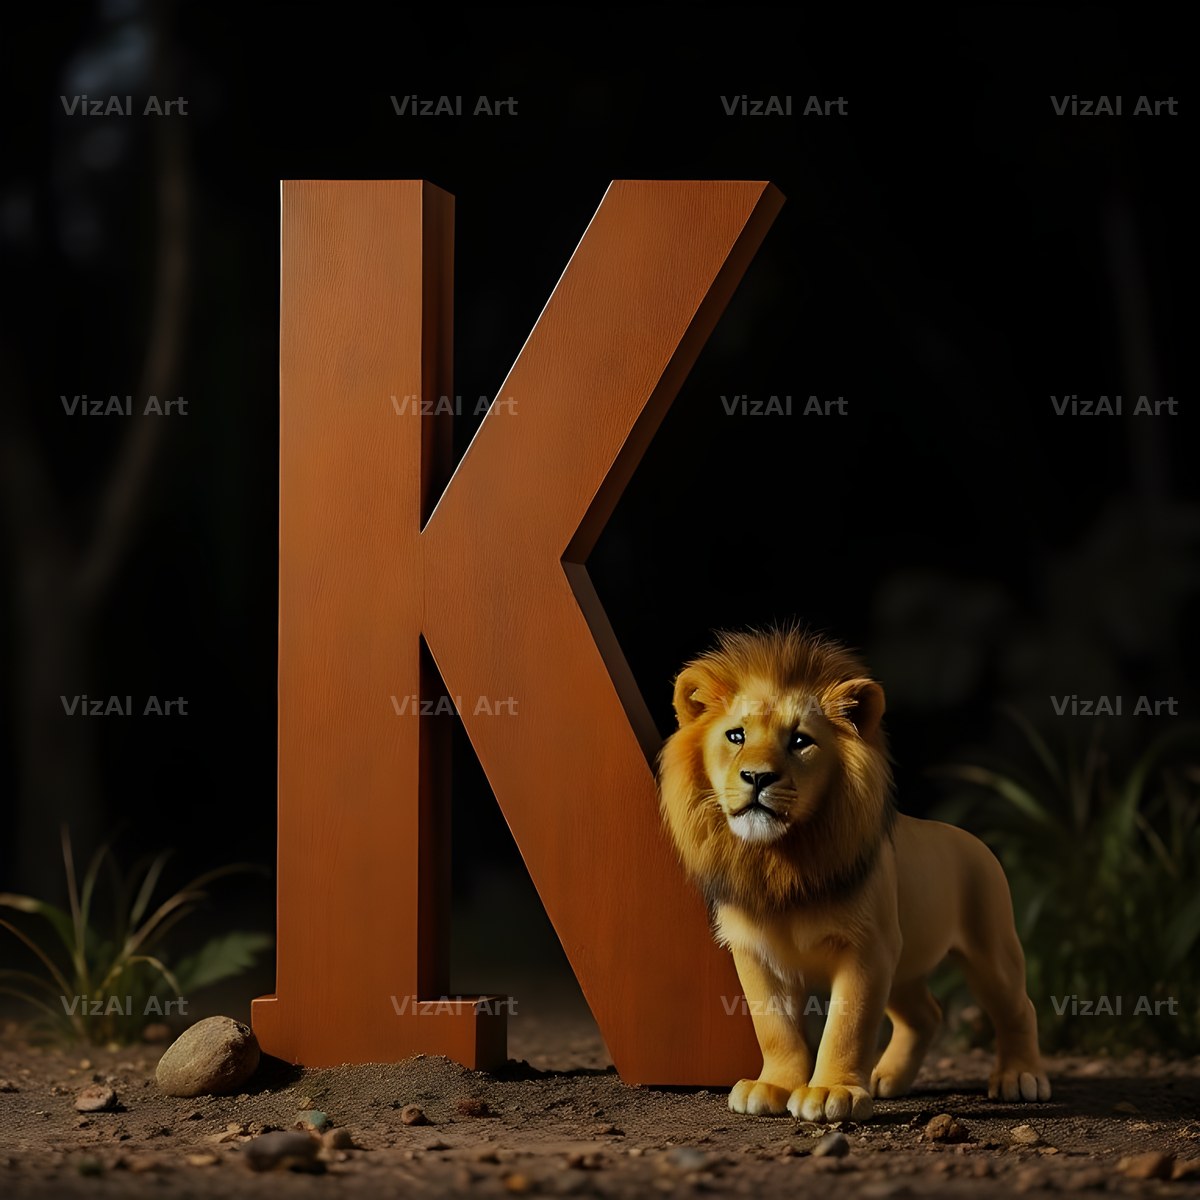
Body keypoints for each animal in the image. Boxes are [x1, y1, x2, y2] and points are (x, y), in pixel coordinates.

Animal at [657, 625, 1050, 1122]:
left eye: (800, 741)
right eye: (736, 735)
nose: (757, 777)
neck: (780, 858)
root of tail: (968, 837)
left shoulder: (868, 948)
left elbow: (847, 1025)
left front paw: (832, 1092)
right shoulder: (755, 952)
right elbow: (774, 1027)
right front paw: (774, 1085)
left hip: (990, 947)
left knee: (1019, 1007)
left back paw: (1020, 1077)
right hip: (906, 965)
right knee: (926, 1014)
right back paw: (889, 1079)